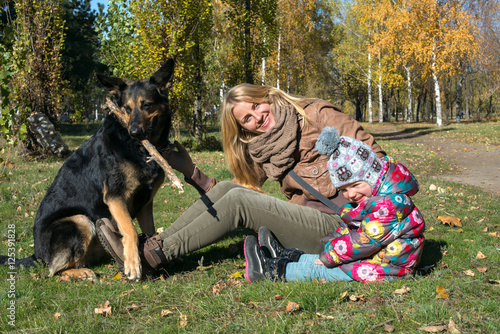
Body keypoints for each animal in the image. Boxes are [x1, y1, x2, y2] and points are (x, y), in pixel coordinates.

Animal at [0, 59, 176, 280]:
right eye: (126, 109)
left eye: (147, 105)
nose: (134, 132)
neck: (138, 148)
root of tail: (37, 254)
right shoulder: (115, 197)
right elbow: (130, 230)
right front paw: (133, 264)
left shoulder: (145, 203)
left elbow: (150, 232)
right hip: (80, 220)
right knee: (53, 271)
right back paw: (82, 272)